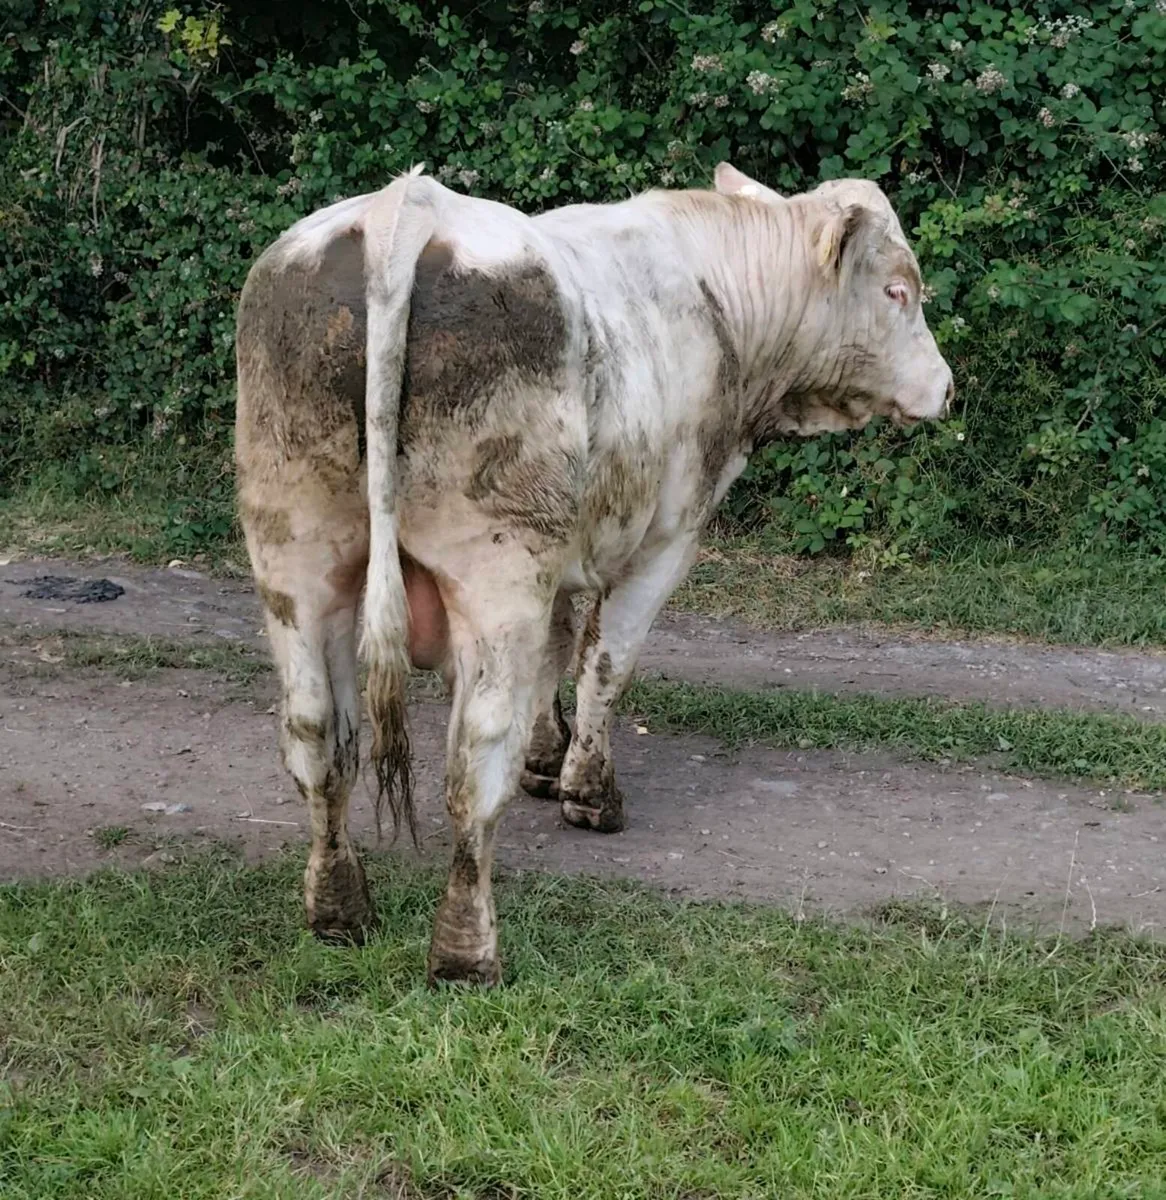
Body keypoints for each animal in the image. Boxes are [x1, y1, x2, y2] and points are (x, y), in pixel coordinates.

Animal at [235, 162, 954, 986]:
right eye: (898, 290)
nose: (946, 386)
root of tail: (404, 207)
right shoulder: (669, 536)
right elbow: (605, 660)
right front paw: (587, 790)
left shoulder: (562, 549)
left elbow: (556, 647)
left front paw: (548, 758)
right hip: (496, 561)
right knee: (473, 758)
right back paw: (466, 953)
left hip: (295, 549)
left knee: (317, 732)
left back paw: (338, 910)